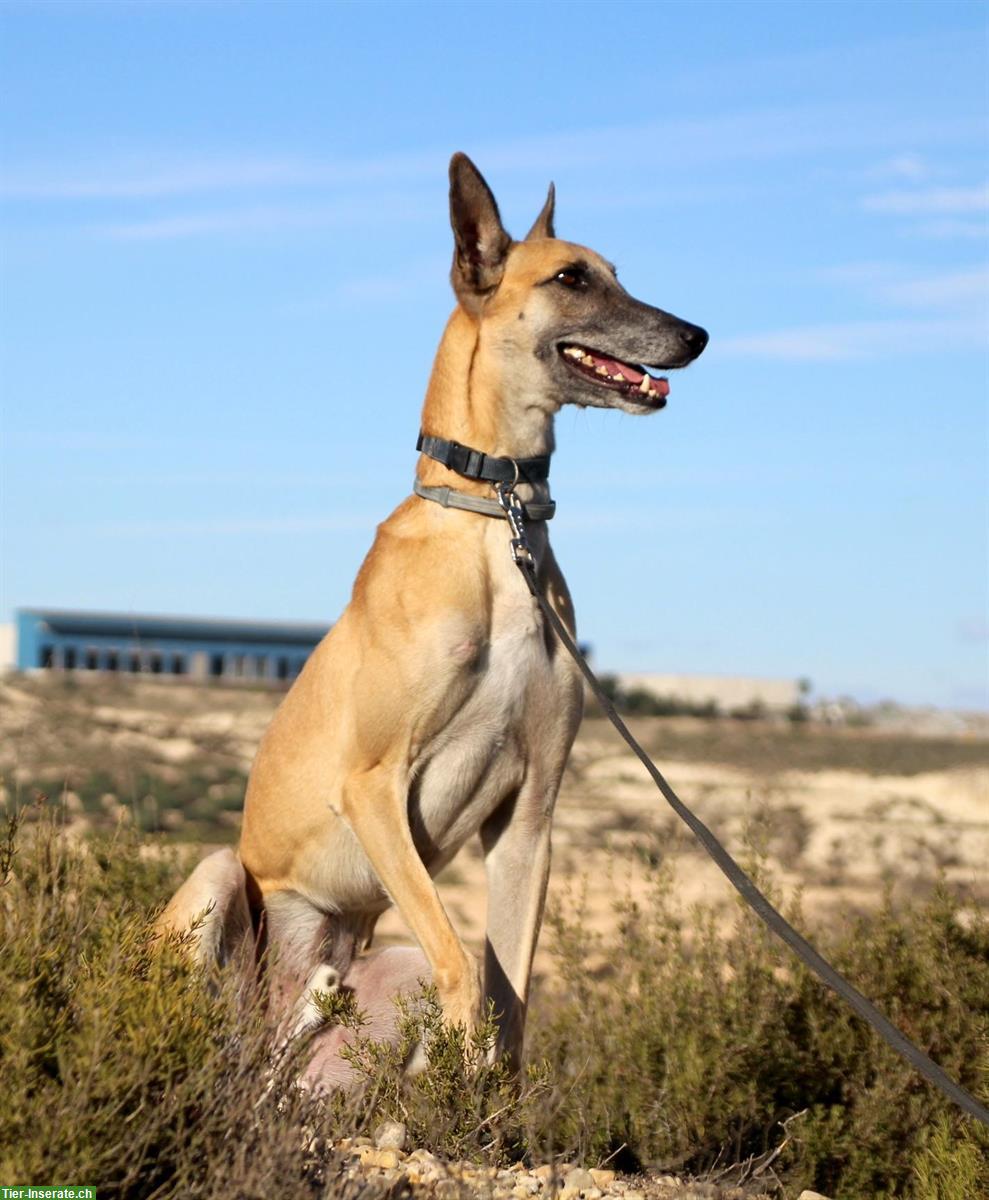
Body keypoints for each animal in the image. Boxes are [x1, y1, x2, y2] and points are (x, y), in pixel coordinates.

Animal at [158, 154, 705, 1084]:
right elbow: (464, 971)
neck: (494, 520)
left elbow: (508, 1003)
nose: (696, 335)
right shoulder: (373, 786)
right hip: (216, 876)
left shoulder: (529, 817)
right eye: (571, 278)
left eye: (616, 272)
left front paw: (487, 1104)